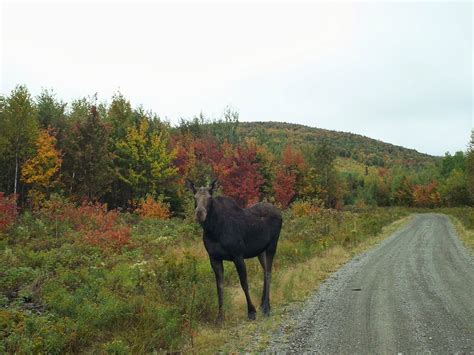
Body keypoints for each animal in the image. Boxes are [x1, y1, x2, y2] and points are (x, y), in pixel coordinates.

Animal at [185, 178, 282, 322]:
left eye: (210, 197)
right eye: (194, 197)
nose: (199, 213)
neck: (213, 231)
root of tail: (280, 213)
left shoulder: (238, 256)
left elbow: (244, 283)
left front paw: (251, 311)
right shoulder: (214, 258)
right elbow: (219, 287)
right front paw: (220, 317)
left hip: (272, 245)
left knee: (269, 272)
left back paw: (265, 307)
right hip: (260, 251)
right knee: (265, 271)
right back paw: (264, 304)